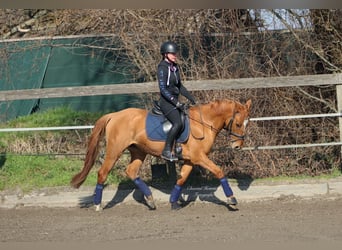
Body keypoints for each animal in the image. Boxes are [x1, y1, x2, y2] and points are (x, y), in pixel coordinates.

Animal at [70, 98, 251, 211]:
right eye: (238, 123)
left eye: (247, 123)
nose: (237, 146)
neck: (203, 123)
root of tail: (114, 115)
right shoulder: (199, 157)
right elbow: (219, 171)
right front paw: (232, 200)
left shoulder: (191, 160)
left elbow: (181, 180)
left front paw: (174, 202)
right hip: (114, 151)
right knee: (102, 173)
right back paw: (98, 205)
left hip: (139, 151)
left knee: (131, 171)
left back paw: (150, 200)